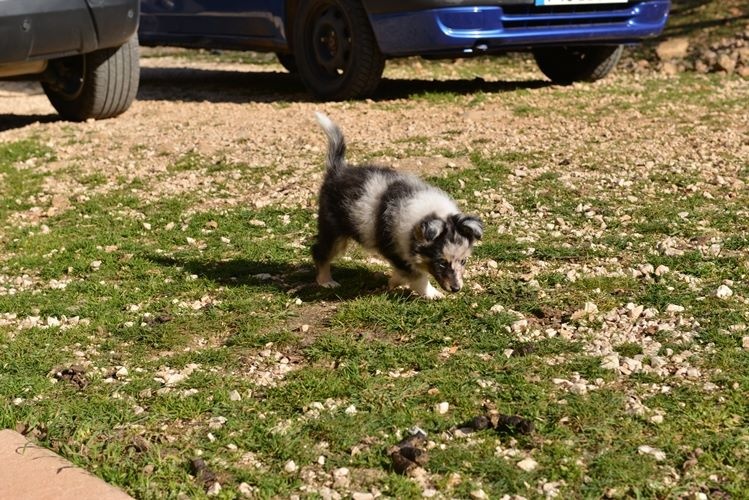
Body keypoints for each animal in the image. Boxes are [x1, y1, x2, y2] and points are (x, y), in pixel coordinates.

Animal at [312, 113, 482, 298]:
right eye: (441, 262)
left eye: (463, 261)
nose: (456, 288)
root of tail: (337, 170)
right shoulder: (396, 251)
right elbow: (417, 276)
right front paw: (432, 293)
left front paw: (393, 283)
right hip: (333, 231)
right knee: (319, 252)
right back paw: (326, 281)